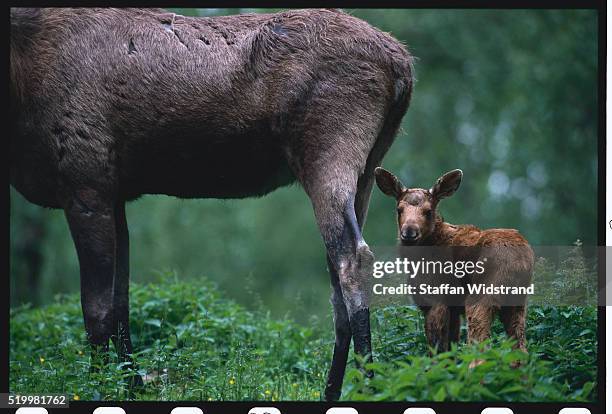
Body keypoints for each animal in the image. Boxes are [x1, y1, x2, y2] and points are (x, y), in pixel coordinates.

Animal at [9, 7, 414, 402]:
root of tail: (403, 66)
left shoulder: (85, 182)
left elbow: (96, 309)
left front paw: (99, 387)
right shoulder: (116, 193)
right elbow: (122, 299)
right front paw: (131, 385)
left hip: (329, 154)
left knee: (352, 260)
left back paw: (367, 386)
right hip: (367, 170)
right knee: (336, 274)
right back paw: (333, 390)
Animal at [372, 166, 532, 362]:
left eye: (428, 211)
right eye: (399, 209)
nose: (409, 232)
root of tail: (520, 260)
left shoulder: (436, 300)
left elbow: (437, 351)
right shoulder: (454, 310)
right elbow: (451, 351)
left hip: (482, 295)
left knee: (480, 347)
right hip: (518, 303)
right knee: (520, 350)